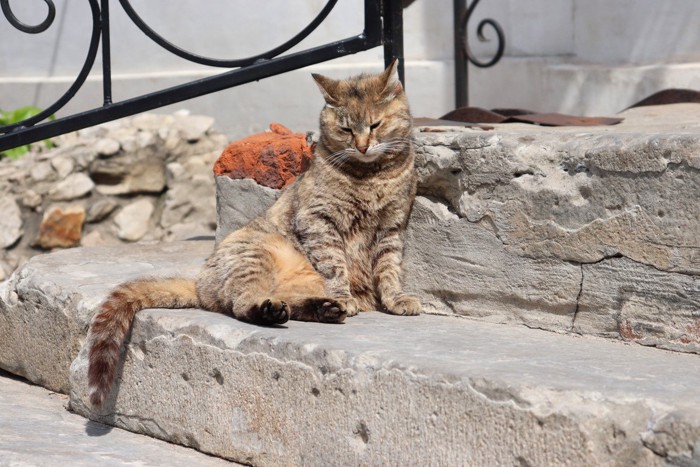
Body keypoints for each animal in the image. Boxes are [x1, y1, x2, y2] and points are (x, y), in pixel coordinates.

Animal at [90, 60, 424, 408]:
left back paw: (323, 309)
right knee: (242, 303)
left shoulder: (392, 226)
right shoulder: (319, 220)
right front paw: (346, 295)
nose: (361, 145)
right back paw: (285, 309)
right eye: (346, 129)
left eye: (375, 124)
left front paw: (395, 298)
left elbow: (389, 269)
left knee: (291, 302)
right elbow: (336, 265)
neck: (370, 176)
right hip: (255, 258)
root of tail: (199, 281)